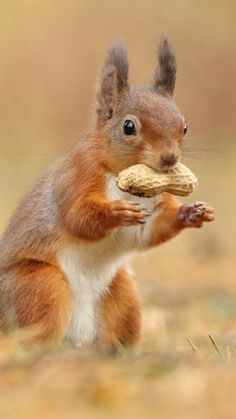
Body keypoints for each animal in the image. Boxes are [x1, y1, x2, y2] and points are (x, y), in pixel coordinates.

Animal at [0, 37, 215, 352]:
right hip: (39, 286)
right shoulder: (77, 177)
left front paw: (192, 212)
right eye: (129, 127)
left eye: (184, 126)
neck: (124, 180)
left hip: (124, 294)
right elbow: (76, 217)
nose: (170, 158)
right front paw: (116, 212)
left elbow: (149, 232)